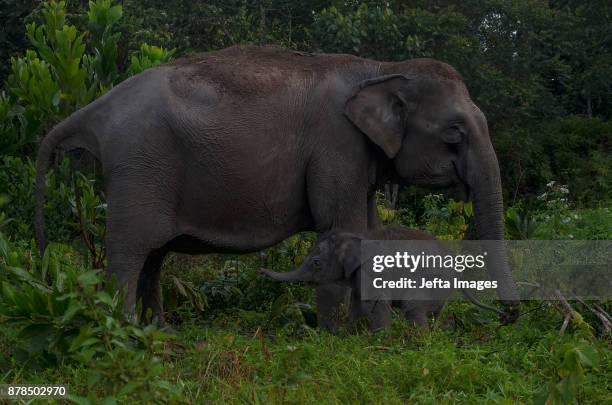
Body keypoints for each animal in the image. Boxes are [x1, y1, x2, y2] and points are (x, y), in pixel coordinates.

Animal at [260, 226, 500, 330]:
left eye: (316, 263)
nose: (261, 270)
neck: (355, 236)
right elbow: (358, 301)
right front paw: (354, 335)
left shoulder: (372, 271)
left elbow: (376, 303)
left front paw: (380, 344)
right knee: (433, 313)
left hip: (432, 281)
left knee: (413, 307)